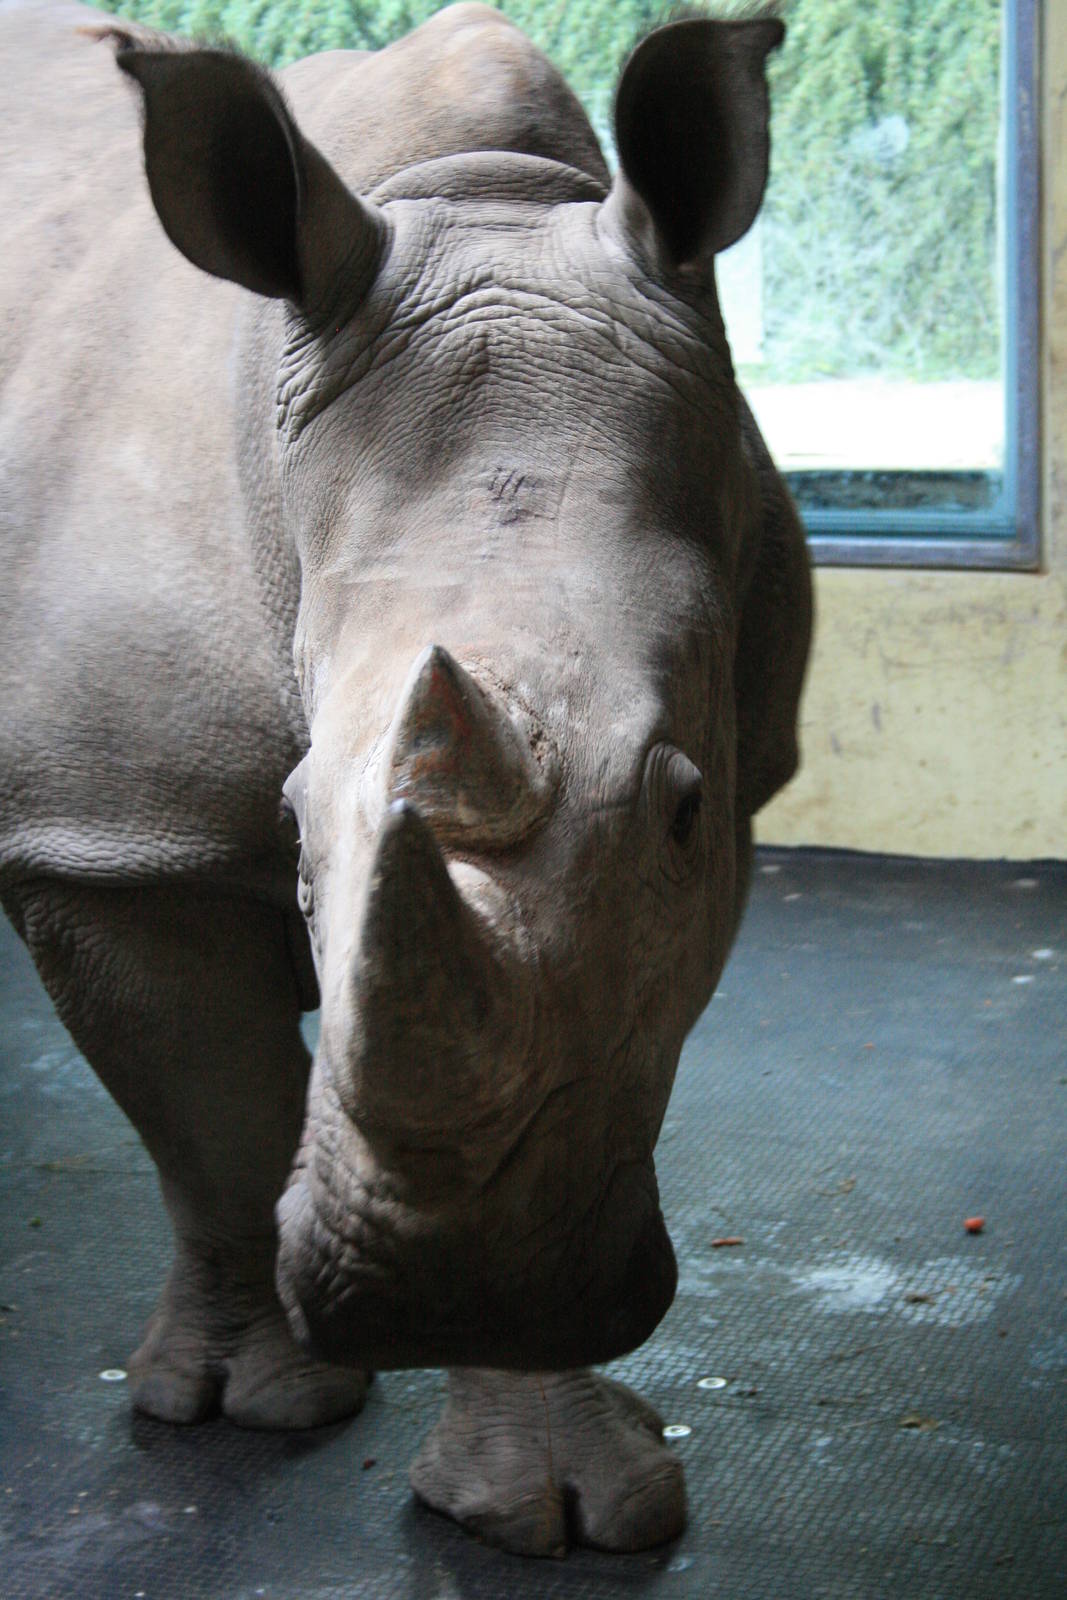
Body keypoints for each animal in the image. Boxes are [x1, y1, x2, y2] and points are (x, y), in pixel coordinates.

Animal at [0, 0, 811, 1557]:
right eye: (291, 820)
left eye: (685, 807)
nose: (440, 1296)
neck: (485, 202)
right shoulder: (114, 829)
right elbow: (210, 1114)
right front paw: (252, 1404)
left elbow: (600, 1044)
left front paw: (556, 1491)